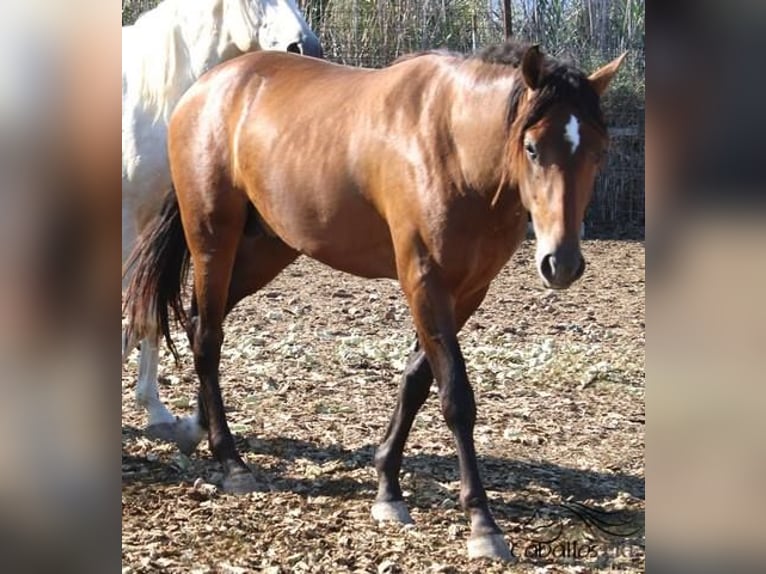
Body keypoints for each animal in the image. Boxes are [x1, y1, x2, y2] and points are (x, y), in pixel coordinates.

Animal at [124, 41, 624, 564]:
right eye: (532, 148)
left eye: (597, 151)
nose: (561, 263)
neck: (454, 147)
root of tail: (204, 89)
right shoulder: (423, 279)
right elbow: (456, 397)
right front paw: (482, 523)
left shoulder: (468, 290)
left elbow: (416, 382)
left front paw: (387, 487)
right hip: (213, 239)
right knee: (207, 337)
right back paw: (231, 460)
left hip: (267, 248)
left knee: (202, 320)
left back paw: (198, 428)